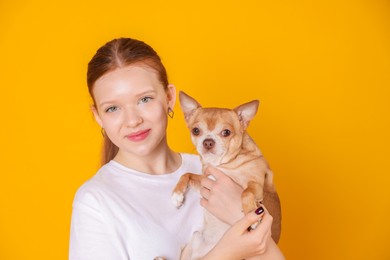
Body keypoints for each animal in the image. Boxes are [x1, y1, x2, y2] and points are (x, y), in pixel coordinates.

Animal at [171, 90, 280, 258]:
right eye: (196, 130)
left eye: (226, 132)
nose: (208, 141)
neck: (224, 164)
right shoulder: (205, 181)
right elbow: (187, 174)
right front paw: (177, 195)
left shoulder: (256, 185)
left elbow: (246, 193)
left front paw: (253, 218)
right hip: (193, 242)